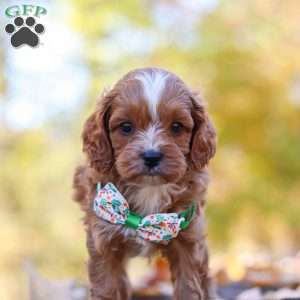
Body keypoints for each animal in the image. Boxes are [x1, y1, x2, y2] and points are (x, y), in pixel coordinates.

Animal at [74, 68, 217, 300]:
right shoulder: (104, 241)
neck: (149, 189)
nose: (151, 156)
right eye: (126, 127)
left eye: (176, 127)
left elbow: (189, 286)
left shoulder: (188, 240)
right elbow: (107, 288)